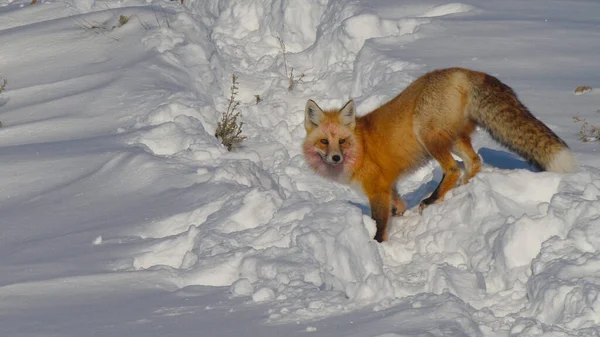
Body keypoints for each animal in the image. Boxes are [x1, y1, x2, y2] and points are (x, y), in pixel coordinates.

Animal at [304, 67, 576, 242]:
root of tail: (463, 71)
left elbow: (380, 224)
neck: (361, 146)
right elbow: (398, 205)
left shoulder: (377, 188)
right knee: (474, 162)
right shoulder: (390, 185)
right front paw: (400, 214)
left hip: (428, 136)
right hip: (452, 139)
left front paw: (376, 244)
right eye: (324, 142)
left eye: (342, 141)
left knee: (453, 168)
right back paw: (462, 190)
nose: (336, 158)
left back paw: (433, 199)